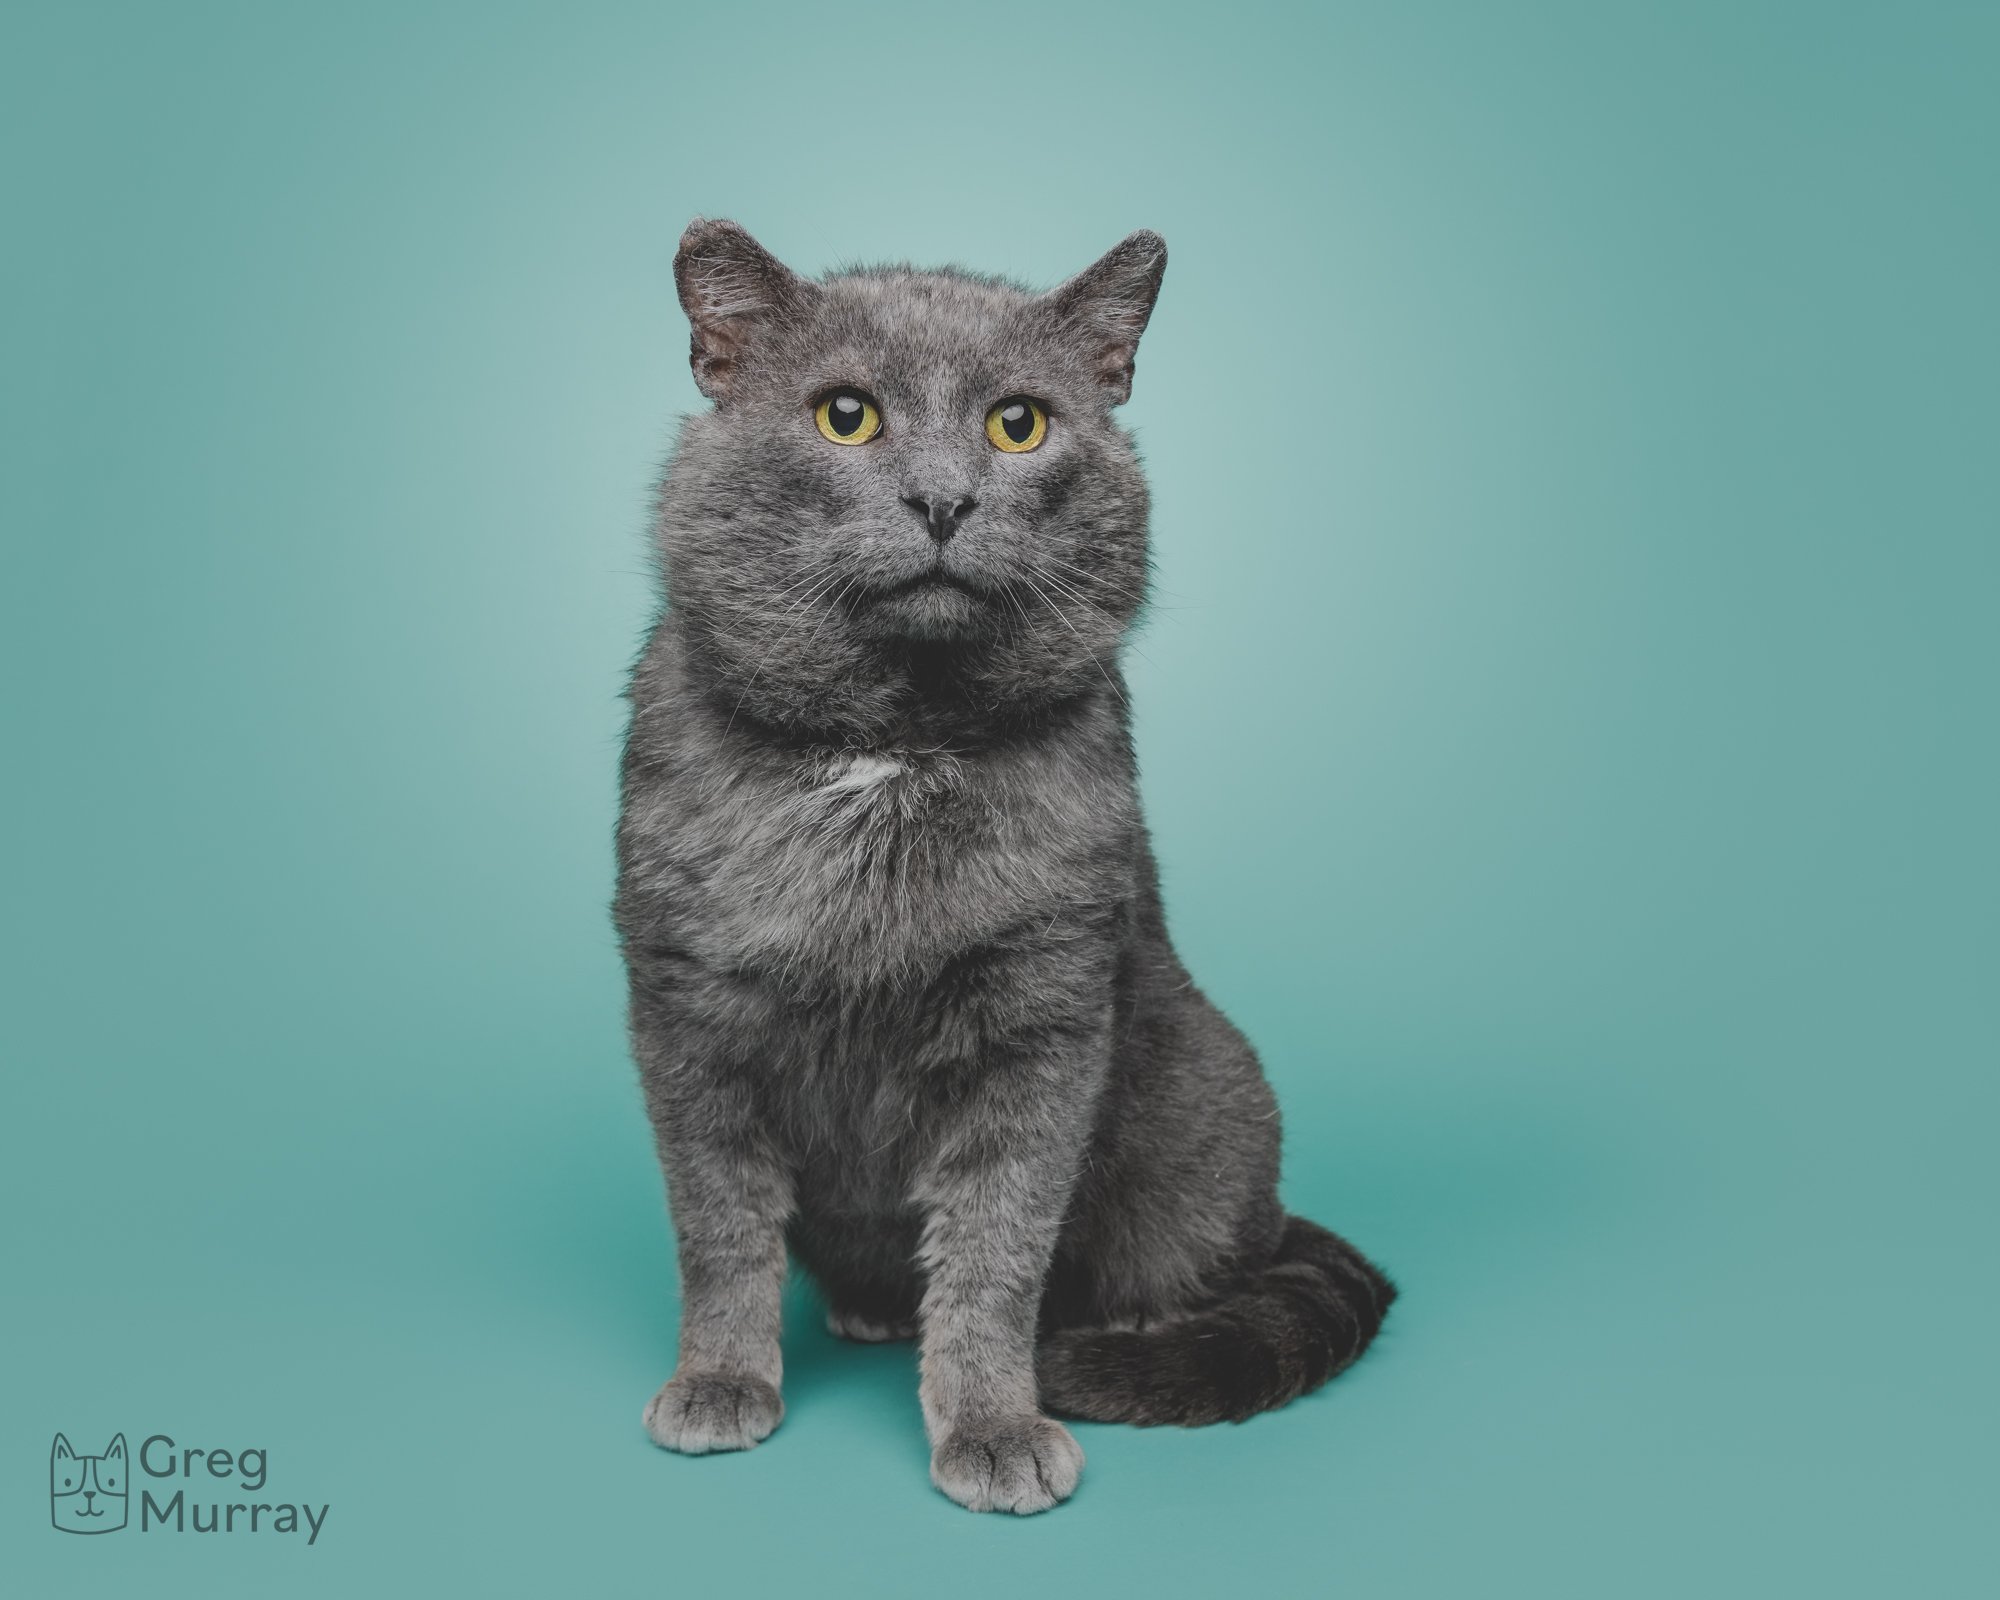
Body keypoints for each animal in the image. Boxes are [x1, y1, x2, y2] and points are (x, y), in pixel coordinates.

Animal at [620, 222, 1392, 1512]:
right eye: (844, 417)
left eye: (1017, 424)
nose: (943, 499)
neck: (894, 745)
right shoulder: (685, 1010)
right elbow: (716, 1225)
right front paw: (719, 1383)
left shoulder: (1042, 1018)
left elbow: (994, 1247)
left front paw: (992, 1423)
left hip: (1202, 1109)